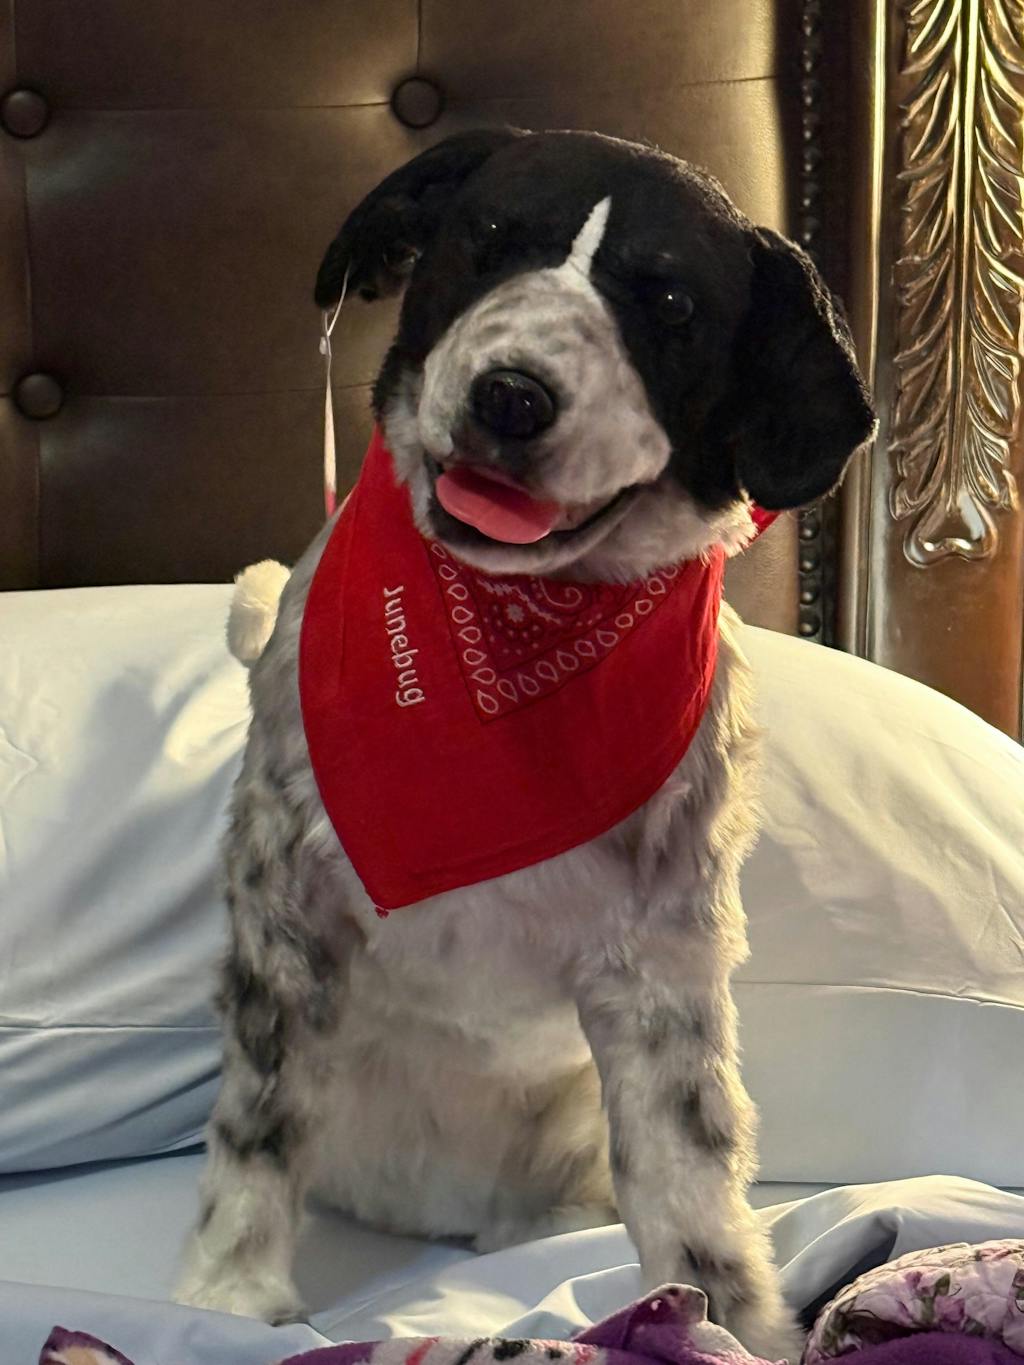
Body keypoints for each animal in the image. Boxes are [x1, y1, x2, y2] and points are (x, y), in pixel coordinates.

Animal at [175, 129, 875, 1363]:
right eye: (486, 238)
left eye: (669, 303)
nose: (511, 396)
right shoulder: (285, 907)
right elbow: (260, 1121)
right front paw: (227, 1299)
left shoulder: (662, 965)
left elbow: (688, 1176)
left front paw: (731, 1323)